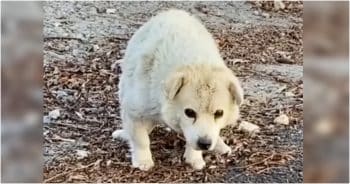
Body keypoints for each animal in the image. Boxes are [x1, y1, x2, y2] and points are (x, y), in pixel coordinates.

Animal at [113, 9, 243, 171]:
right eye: (189, 112)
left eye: (219, 113)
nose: (205, 143)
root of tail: (172, 12)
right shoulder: (135, 110)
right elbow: (140, 139)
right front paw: (143, 161)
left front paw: (194, 158)